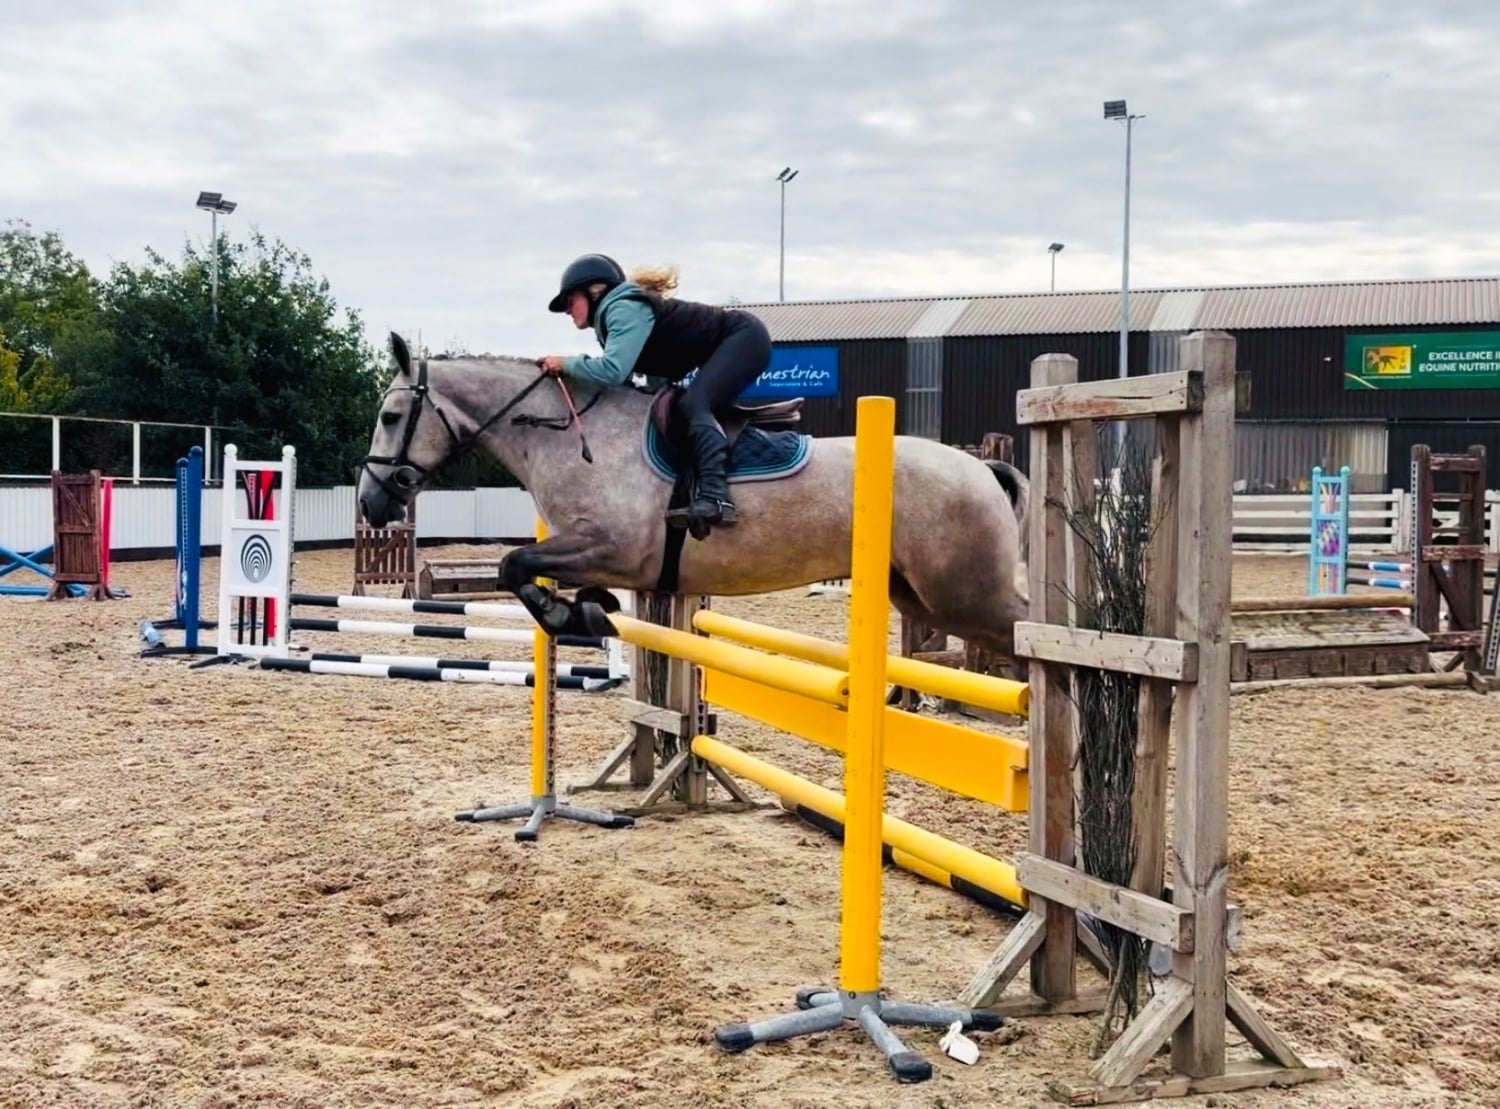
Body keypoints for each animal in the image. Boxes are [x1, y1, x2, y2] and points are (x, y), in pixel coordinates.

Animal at [356, 332, 1030, 661]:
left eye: (389, 416)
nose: (369, 503)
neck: (573, 434)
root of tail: (982, 469)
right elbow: (529, 569)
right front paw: (591, 609)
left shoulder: (612, 546)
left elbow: (513, 563)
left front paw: (568, 616)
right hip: (921, 595)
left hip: (966, 592)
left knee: (1031, 637)